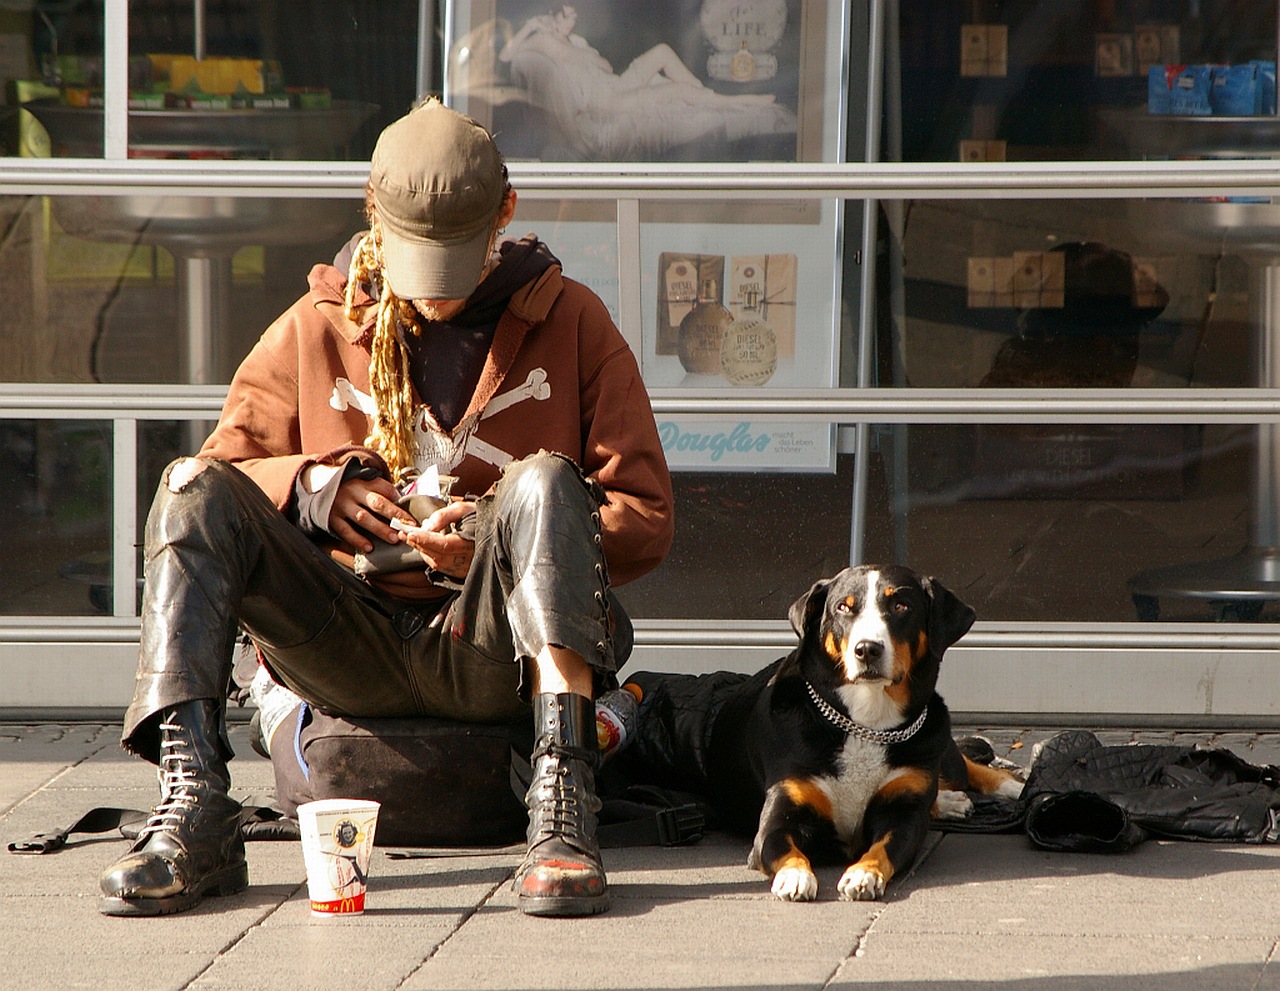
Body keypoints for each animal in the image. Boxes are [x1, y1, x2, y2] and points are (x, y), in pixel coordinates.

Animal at [614, 565, 1024, 901]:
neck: (865, 726)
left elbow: (883, 849)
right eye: (844, 607)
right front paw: (796, 877)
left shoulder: (905, 817)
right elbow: (785, 848)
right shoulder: (779, 816)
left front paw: (863, 875)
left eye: (901, 606)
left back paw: (1008, 786)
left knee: (960, 763)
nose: (867, 649)